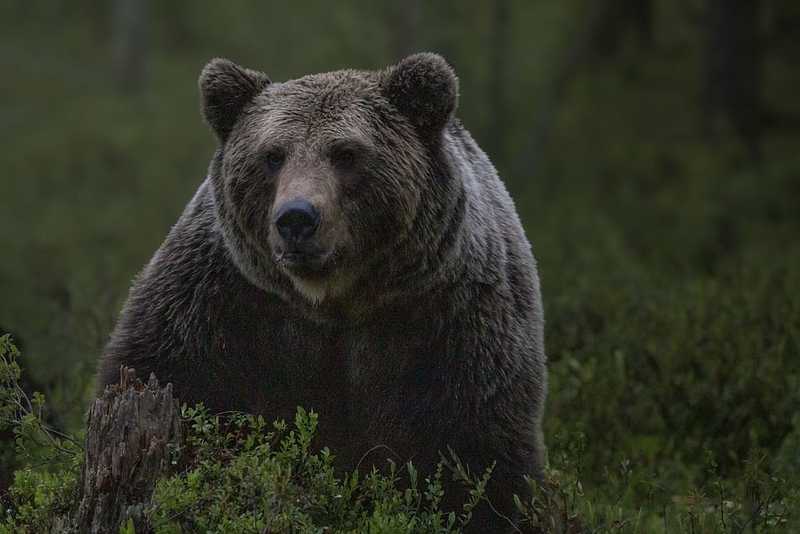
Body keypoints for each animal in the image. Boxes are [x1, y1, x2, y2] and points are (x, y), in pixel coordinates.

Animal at [97, 53, 548, 532]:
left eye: (346, 153)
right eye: (272, 155)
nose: (296, 218)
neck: (333, 301)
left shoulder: (451, 321)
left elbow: (478, 452)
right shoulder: (220, 303)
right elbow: (174, 382)